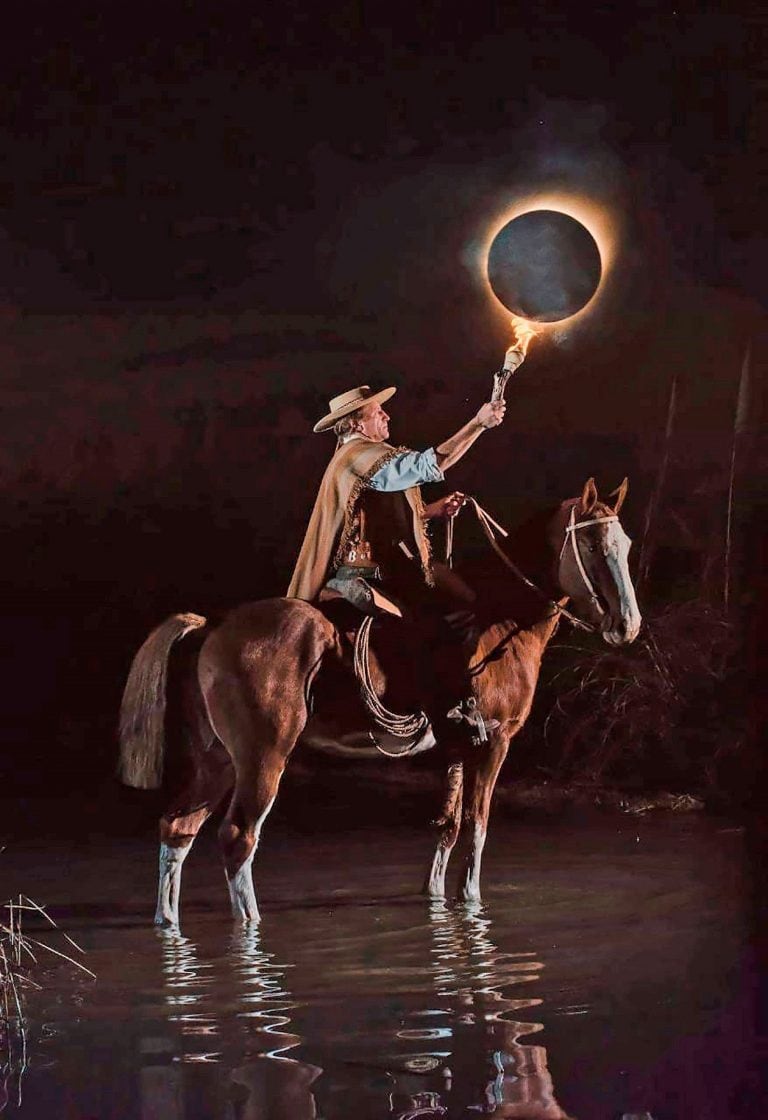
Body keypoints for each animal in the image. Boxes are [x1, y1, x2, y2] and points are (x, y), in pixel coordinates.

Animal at [117, 479, 640, 927]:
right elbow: (477, 823)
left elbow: (448, 825)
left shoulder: (457, 744)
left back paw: (168, 922)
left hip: (218, 759)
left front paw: (437, 896)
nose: (627, 625)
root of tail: (213, 627)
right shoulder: (495, 740)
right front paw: (471, 900)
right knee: (238, 837)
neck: (498, 618)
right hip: (262, 758)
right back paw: (249, 924)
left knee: (177, 828)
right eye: (594, 547)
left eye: (627, 546)